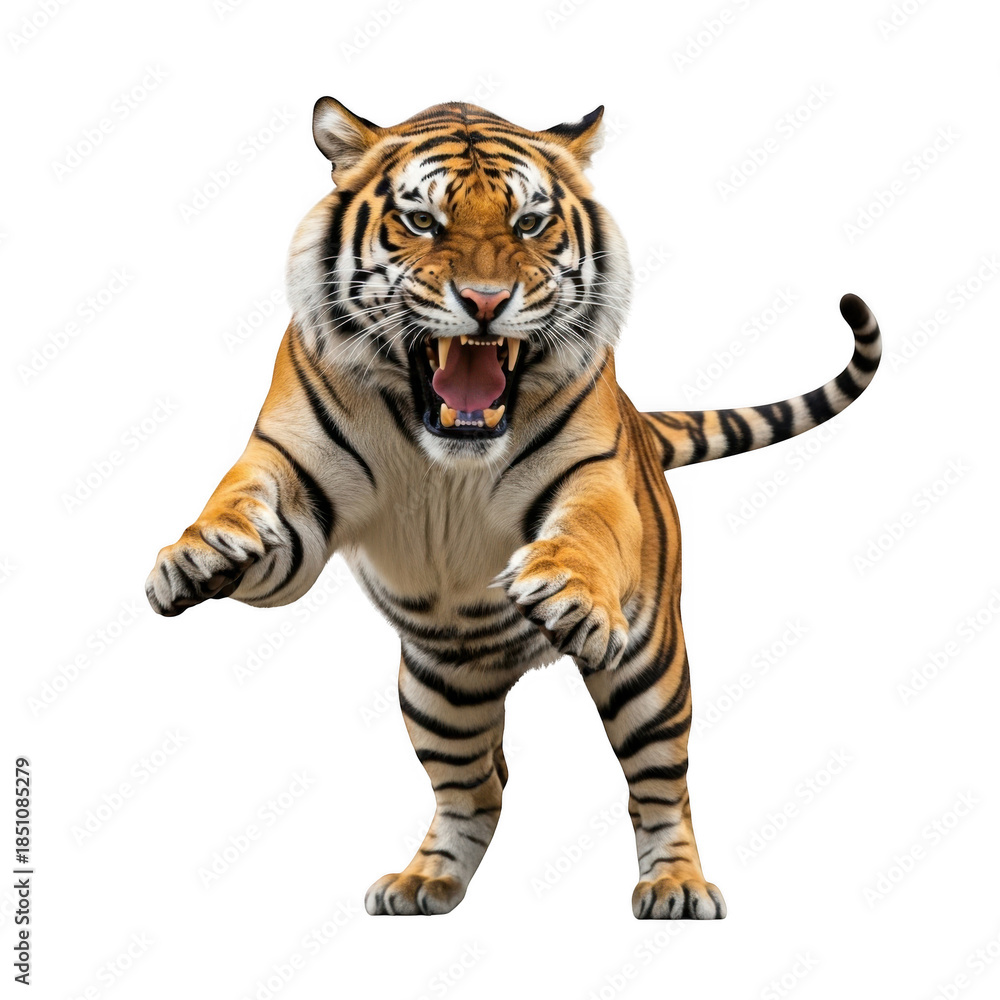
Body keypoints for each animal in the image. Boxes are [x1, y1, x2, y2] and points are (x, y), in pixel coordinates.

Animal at [145, 98, 881, 919]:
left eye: (529, 224)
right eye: (422, 221)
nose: (486, 303)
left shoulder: (593, 475)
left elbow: (586, 532)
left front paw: (569, 592)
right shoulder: (291, 487)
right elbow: (239, 496)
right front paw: (196, 554)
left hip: (652, 675)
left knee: (662, 784)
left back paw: (676, 886)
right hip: (436, 692)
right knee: (479, 785)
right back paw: (424, 881)